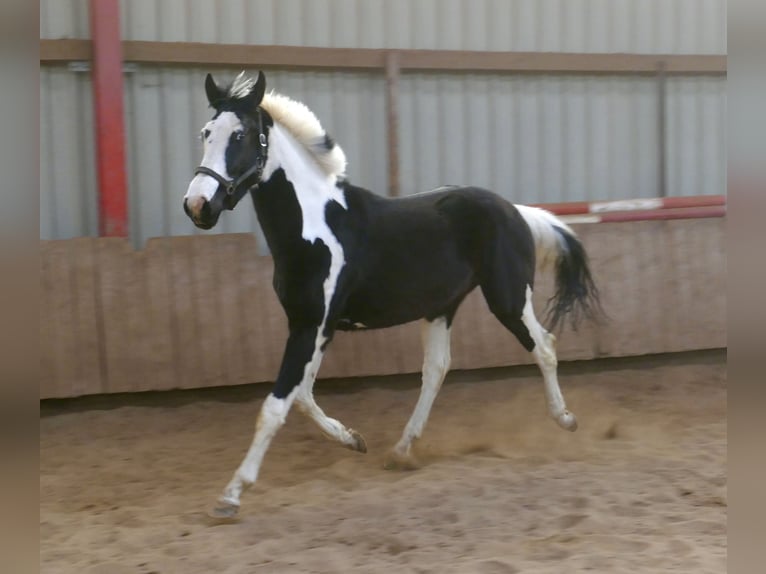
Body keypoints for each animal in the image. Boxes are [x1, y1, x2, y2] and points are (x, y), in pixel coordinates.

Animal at [183, 71, 602, 518]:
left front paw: (231, 494)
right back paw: (400, 450)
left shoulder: (311, 327)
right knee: (436, 369)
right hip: (441, 308)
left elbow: (276, 405)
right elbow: (303, 396)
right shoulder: (316, 327)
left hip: (508, 299)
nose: (198, 205)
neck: (313, 229)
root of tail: (518, 211)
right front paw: (354, 439)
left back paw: (566, 420)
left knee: (544, 346)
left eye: (240, 135)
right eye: (206, 132)